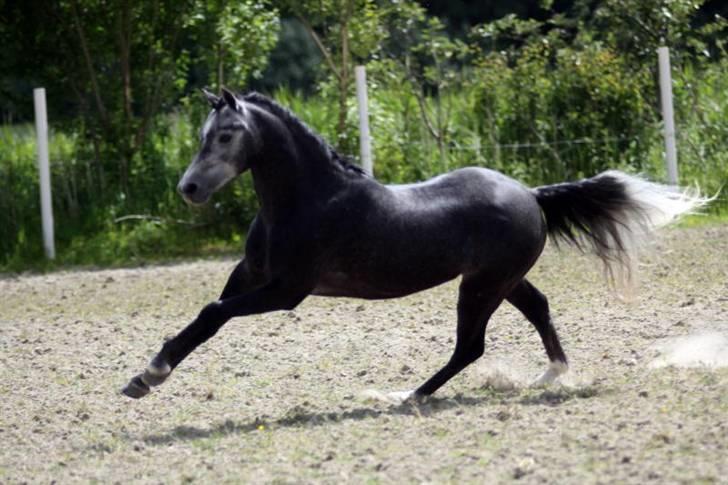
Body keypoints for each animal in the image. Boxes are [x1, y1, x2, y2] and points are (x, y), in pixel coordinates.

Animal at [122, 88, 707, 402]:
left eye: (225, 135)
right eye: (202, 134)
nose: (189, 189)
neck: (309, 199)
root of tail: (531, 194)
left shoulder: (287, 291)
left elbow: (212, 312)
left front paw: (149, 374)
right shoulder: (250, 274)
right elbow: (207, 317)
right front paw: (146, 376)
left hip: (483, 286)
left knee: (471, 346)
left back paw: (411, 395)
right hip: (502, 279)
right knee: (537, 307)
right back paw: (551, 375)